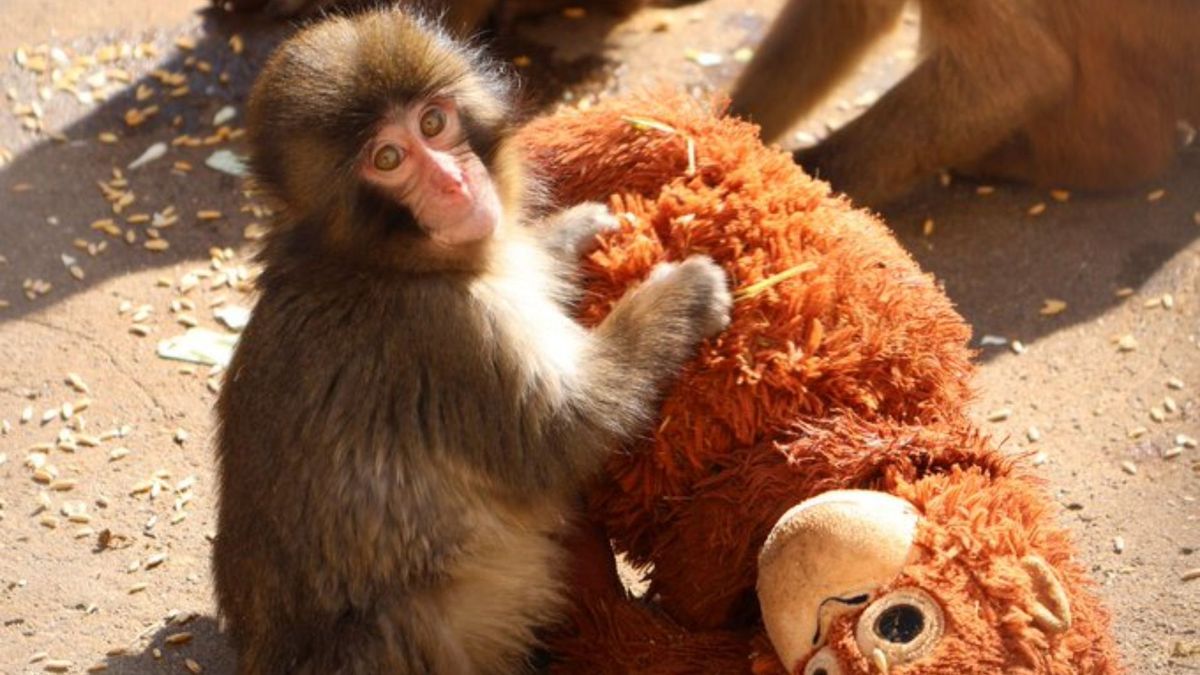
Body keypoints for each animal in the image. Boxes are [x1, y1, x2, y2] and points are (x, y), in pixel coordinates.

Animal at [211, 8, 731, 675]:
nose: (454, 183)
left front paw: (572, 232)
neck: (381, 262)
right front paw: (681, 295)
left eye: (433, 123)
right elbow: (563, 433)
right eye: (388, 158)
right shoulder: (447, 333)